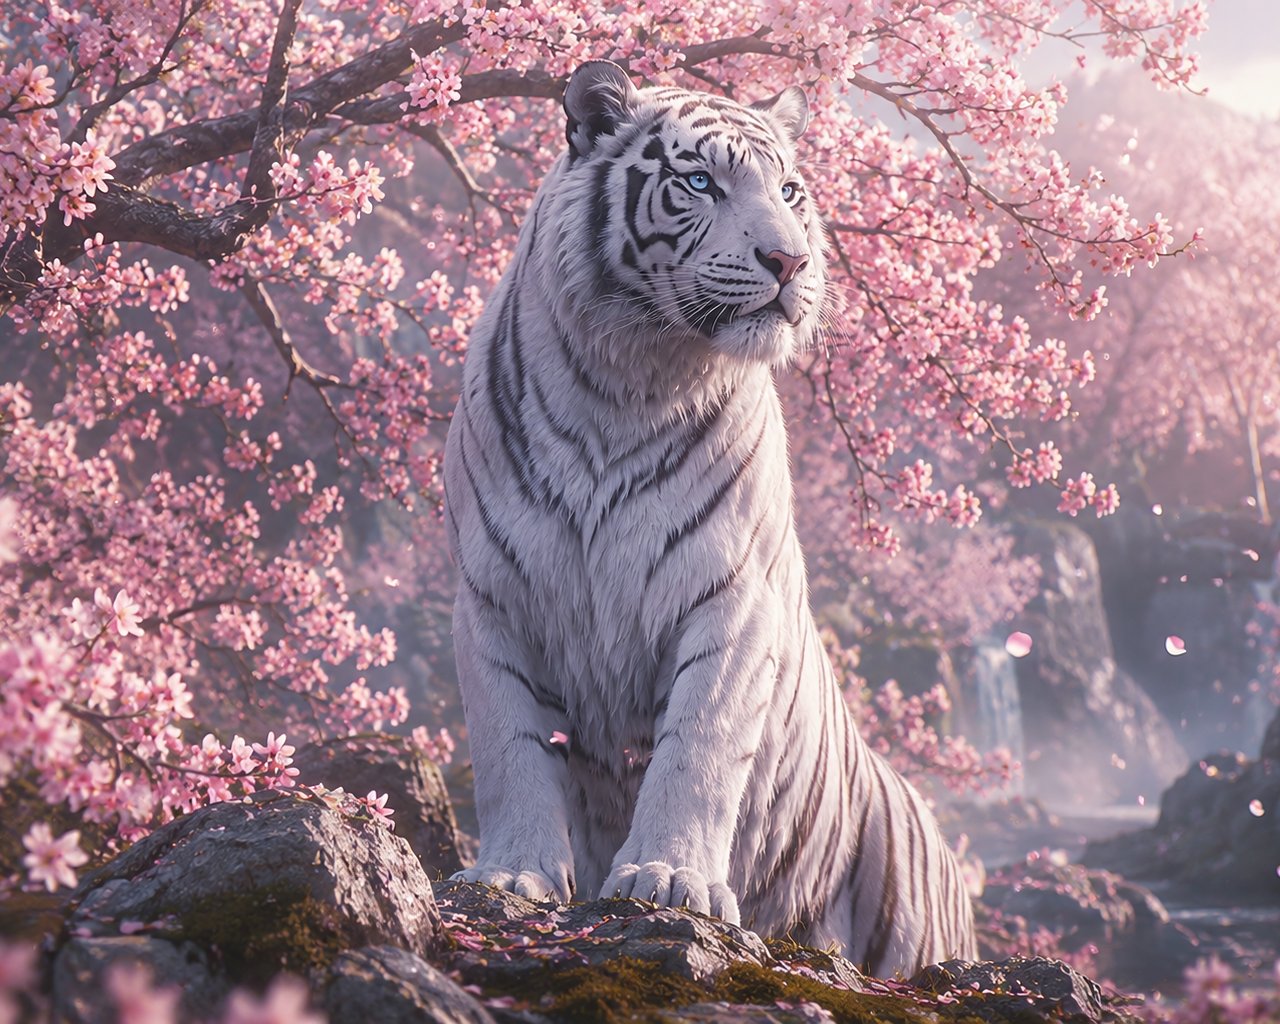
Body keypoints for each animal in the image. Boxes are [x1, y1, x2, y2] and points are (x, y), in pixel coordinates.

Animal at [442, 59, 977, 977]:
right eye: (700, 182)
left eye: (791, 190)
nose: (789, 259)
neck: (626, 378)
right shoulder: (491, 598)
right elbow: (509, 747)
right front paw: (512, 876)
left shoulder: (732, 599)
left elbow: (698, 747)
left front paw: (668, 880)